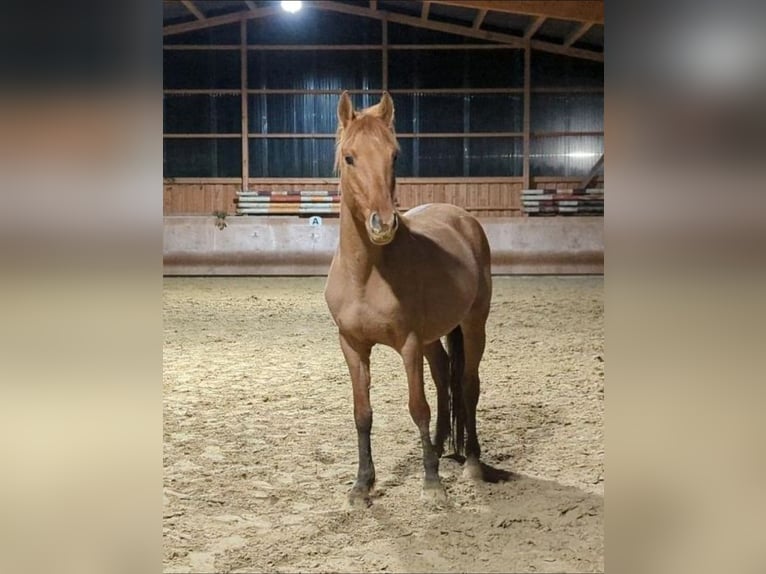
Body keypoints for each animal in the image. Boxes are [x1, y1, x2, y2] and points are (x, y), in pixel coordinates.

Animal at [322, 92, 492, 506]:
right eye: (349, 157)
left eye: (394, 156)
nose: (383, 224)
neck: (367, 273)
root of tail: (463, 219)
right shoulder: (352, 345)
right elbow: (362, 412)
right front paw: (362, 485)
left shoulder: (410, 344)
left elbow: (418, 407)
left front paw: (431, 483)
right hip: (434, 337)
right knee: (444, 377)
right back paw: (440, 446)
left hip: (474, 325)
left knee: (467, 384)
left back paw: (472, 463)